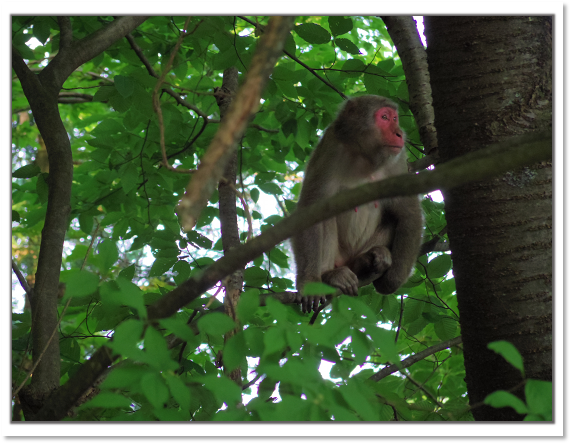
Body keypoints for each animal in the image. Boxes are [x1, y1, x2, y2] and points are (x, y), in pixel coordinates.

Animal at [292, 94, 422, 312]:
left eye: (395, 118)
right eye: (384, 117)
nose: (399, 133)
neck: (364, 156)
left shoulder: (398, 160)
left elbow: (408, 212)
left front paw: (392, 280)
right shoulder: (330, 149)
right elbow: (311, 209)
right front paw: (309, 283)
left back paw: (367, 260)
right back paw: (330, 276)